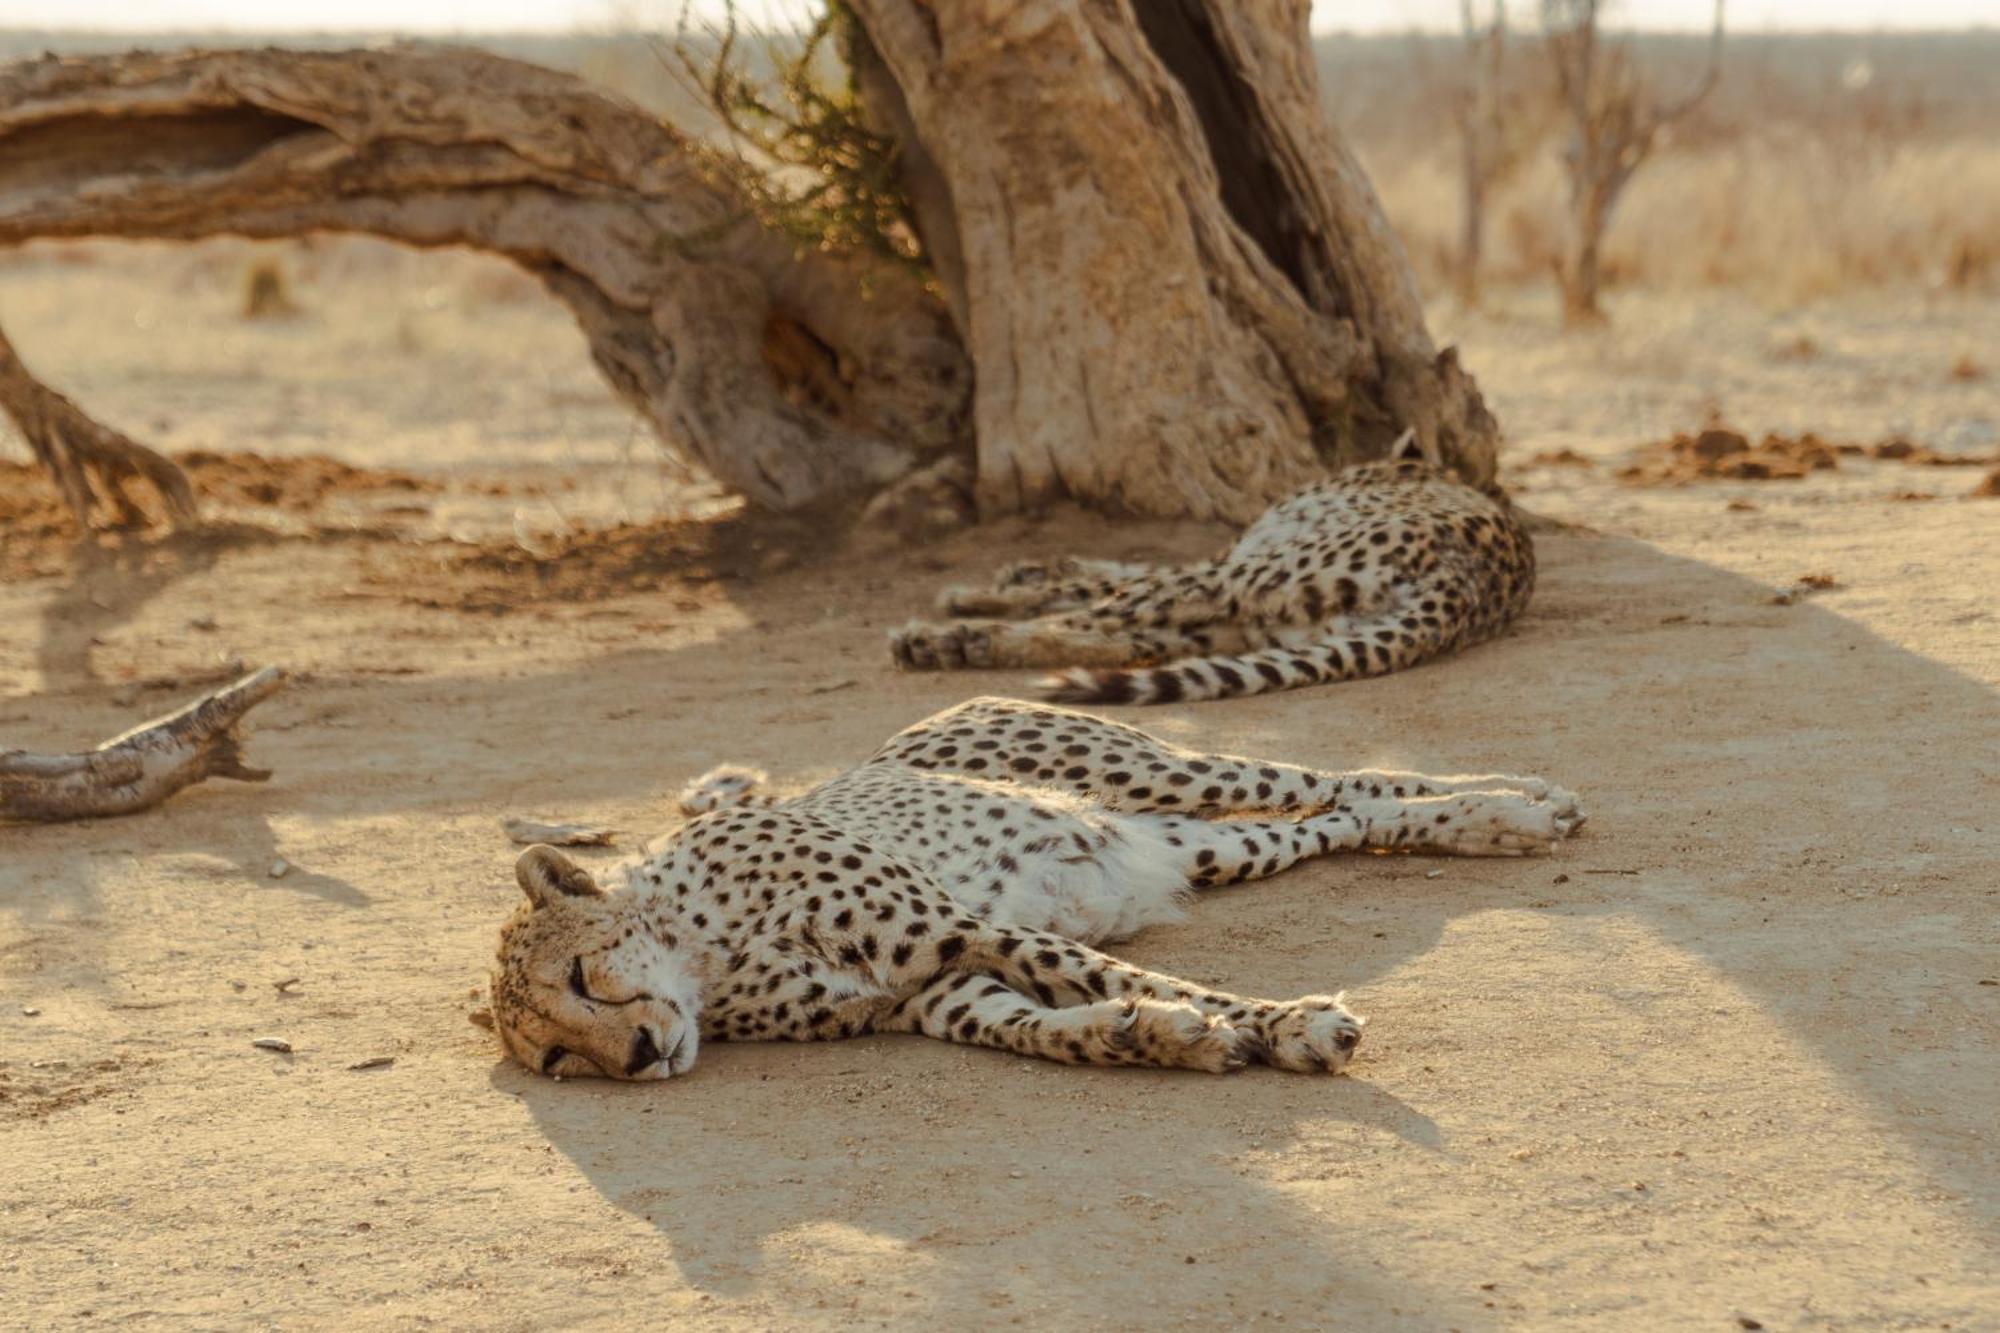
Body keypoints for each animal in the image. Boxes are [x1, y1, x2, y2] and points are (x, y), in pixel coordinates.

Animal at [488, 696, 1576, 1080]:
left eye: (582, 979)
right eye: (557, 1060)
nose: (636, 1057)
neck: (704, 951)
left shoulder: (955, 929)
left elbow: (1146, 979)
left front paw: (1293, 1023)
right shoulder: (931, 991)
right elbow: (1045, 1025)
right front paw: (1155, 1038)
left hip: (1160, 769)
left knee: (1340, 775)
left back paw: (1520, 801)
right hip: (1207, 845)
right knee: (1339, 818)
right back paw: (1492, 819)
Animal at [888, 454, 1528, 704]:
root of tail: (1468, 588)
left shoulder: (1223, 557)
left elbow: (1091, 578)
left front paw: (979, 591)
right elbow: (1098, 572)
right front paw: (1010, 575)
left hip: (1235, 582)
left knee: (1101, 618)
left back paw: (942, 639)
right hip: (1249, 619)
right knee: (1118, 637)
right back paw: (957, 642)